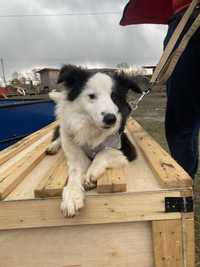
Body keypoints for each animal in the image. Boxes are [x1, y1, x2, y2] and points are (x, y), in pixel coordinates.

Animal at [46, 65, 141, 218]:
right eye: (91, 96)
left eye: (114, 97)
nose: (110, 119)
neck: (92, 129)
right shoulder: (74, 150)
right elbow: (74, 171)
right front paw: (72, 195)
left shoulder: (126, 148)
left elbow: (104, 151)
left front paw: (91, 173)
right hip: (65, 128)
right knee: (59, 135)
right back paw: (53, 146)